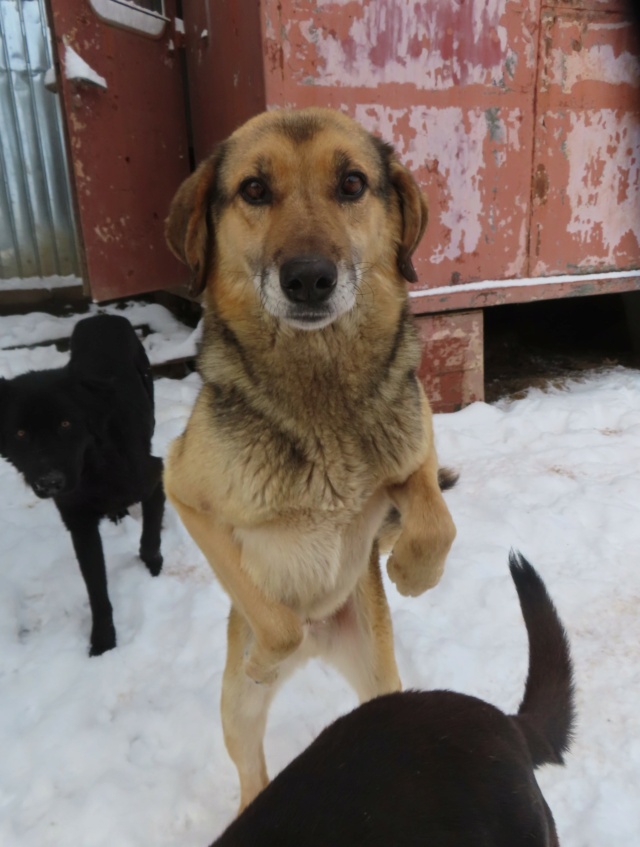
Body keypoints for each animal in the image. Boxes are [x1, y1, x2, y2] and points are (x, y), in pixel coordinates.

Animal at [0, 314, 165, 656]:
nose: (50, 483)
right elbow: (96, 589)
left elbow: (149, 539)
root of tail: (101, 316)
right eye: (20, 434)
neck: (94, 468)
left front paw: (153, 569)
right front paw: (103, 641)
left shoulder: (154, 476)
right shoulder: (79, 524)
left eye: (66, 423)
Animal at [165, 109, 456, 812]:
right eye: (253, 189)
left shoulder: (415, 449)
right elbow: (276, 622)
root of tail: (329, 640)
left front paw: (412, 572)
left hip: (381, 679)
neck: (319, 389)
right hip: (236, 711)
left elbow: (436, 518)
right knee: (252, 766)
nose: (307, 279)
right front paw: (268, 656)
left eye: (352, 183)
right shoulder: (183, 490)